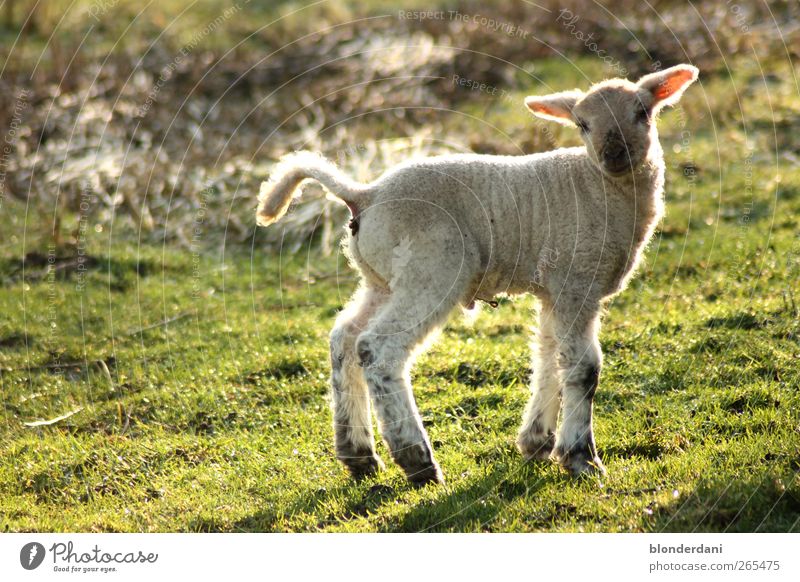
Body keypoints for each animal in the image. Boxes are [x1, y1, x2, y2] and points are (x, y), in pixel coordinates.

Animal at [258, 64, 700, 486]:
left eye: (642, 112)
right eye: (582, 124)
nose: (615, 155)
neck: (600, 187)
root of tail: (365, 196)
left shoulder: (555, 288)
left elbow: (548, 358)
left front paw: (537, 442)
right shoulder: (577, 281)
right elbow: (583, 368)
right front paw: (581, 457)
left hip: (382, 279)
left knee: (345, 338)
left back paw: (358, 455)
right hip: (434, 267)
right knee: (378, 348)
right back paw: (417, 460)